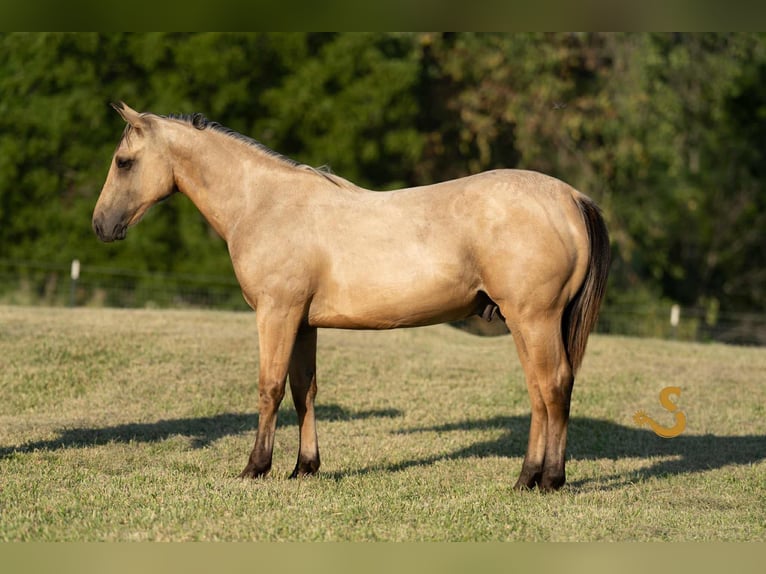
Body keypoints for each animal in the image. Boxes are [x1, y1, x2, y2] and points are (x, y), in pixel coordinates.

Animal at [93, 102, 610, 491]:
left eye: (123, 162)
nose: (101, 225)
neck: (265, 204)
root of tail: (570, 197)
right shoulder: (302, 323)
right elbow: (303, 391)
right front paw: (304, 468)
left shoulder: (276, 314)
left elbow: (269, 388)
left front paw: (255, 468)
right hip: (524, 322)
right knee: (540, 393)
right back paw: (527, 478)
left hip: (534, 319)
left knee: (553, 386)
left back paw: (548, 480)